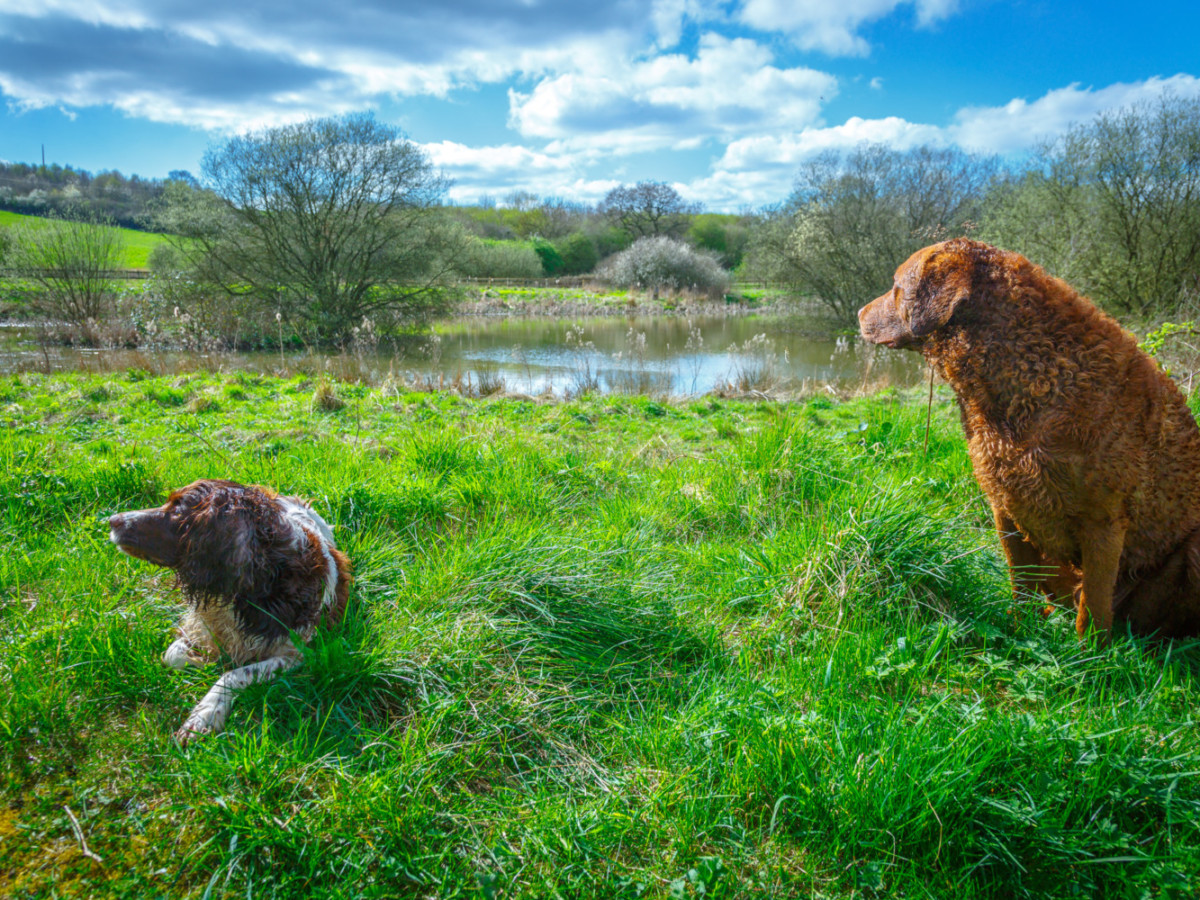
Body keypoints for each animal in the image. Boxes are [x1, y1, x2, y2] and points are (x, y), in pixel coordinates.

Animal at [859, 236, 1200, 638]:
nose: (859, 313)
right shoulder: (1004, 506)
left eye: (896, 287)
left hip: (1190, 550)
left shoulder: (1103, 521)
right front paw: (1020, 632)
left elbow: (1092, 611)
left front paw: (1087, 654)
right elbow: (1019, 582)